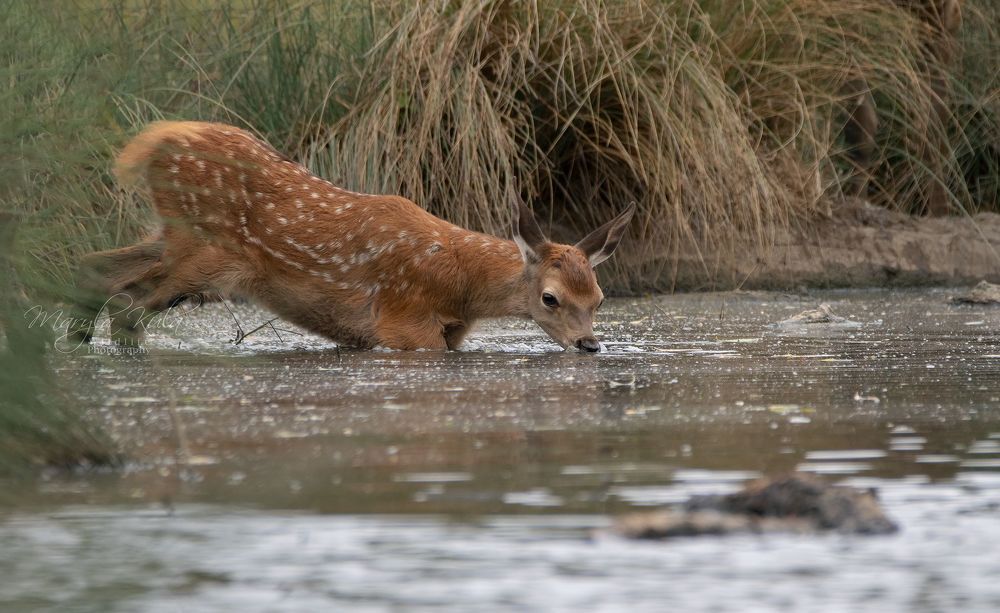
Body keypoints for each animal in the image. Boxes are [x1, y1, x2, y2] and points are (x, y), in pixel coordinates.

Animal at [68, 121, 635, 352]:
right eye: (550, 297)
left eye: (599, 298)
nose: (589, 345)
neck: (459, 285)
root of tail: (153, 142)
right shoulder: (403, 324)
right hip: (204, 253)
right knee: (126, 304)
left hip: (173, 238)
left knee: (95, 267)